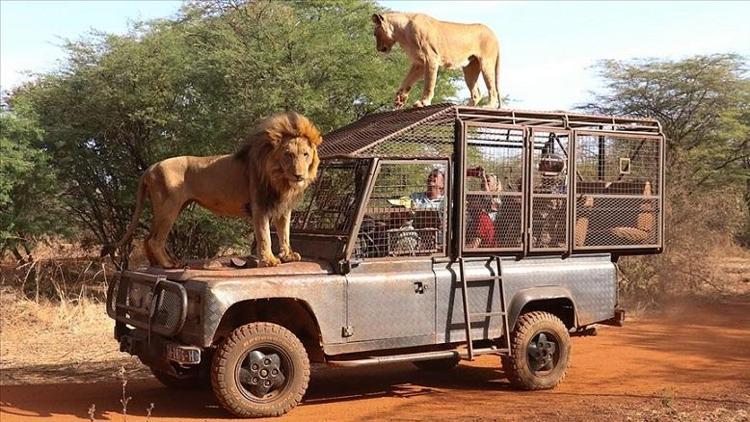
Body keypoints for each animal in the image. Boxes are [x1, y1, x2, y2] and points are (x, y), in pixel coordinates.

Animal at [100, 113, 324, 268]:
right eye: (288, 154)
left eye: (305, 154)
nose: (299, 175)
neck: (281, 179)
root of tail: (150, 167)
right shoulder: (259, 205)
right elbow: (265, 235)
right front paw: (269, 260)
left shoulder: (283, 207)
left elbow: (284, 233)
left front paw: (288, 256)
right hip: (169, 207)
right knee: (155, 240)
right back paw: (169, 264)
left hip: (171, 207)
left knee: (148, 238)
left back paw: (157, 264)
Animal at [374, 12, 502, 109]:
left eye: (375, 34)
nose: (378, 49)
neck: (402, 32)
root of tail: (494, 34)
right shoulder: (419, 63)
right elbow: (407, 81)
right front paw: (400, 99)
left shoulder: (431, 58)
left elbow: (429, 83)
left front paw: (423, 102)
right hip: (469, 68)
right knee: (477, 93)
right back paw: (466, 106)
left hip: (486, 63)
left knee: (492, 88)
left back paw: (489, 106)